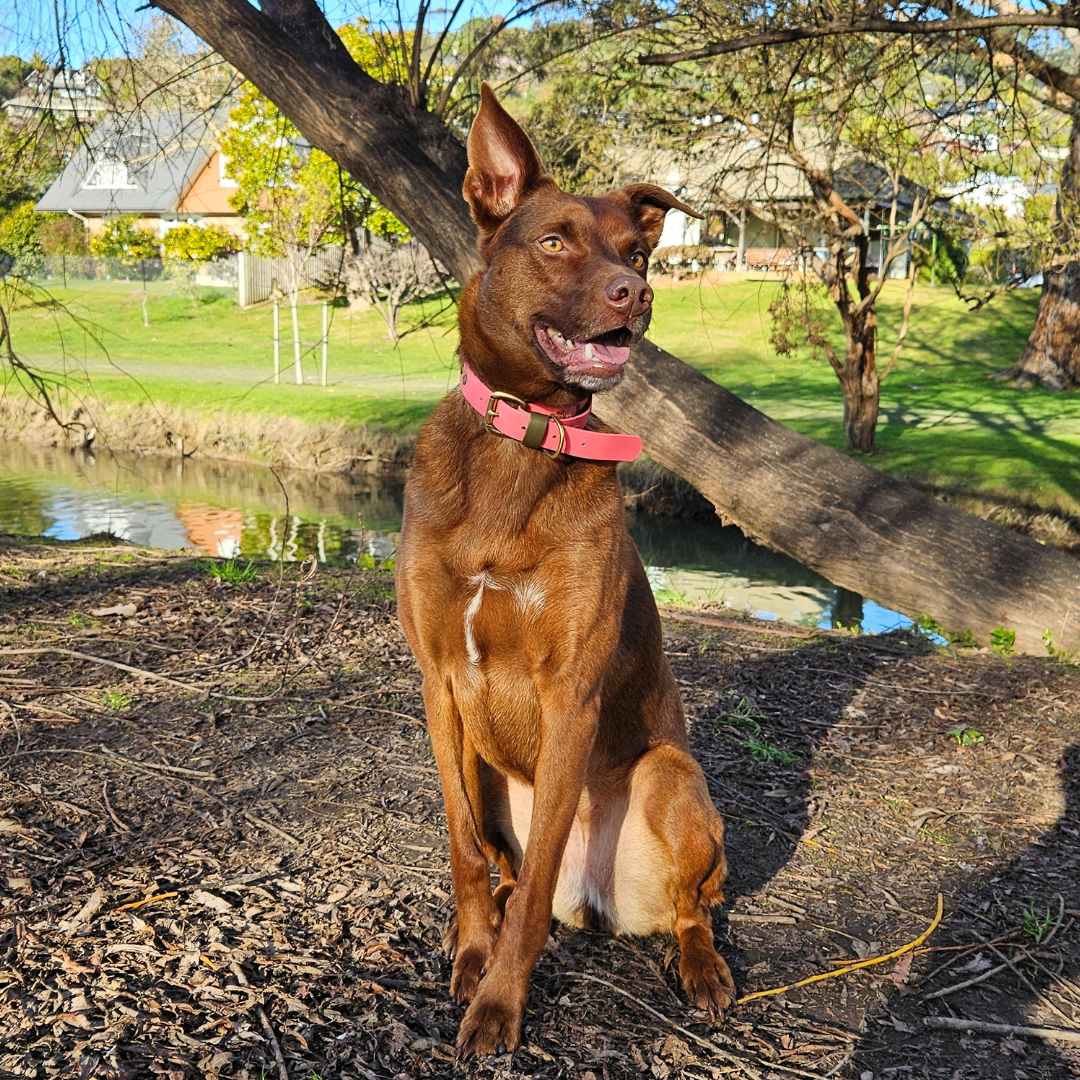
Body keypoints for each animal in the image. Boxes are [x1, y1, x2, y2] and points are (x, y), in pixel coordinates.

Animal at [393, 86, 738, 1062]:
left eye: (636, 251)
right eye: (553, 241)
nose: (639, 292)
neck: (525, 437)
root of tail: (600, 903)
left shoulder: (570, 696)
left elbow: (539, 873)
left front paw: (500, 1003)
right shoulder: (438, 681)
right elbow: (464, 850)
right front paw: (473, 952)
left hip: (671, 776)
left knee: (694, 908)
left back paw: (702, 970)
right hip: (489, 768)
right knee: (509, 868)